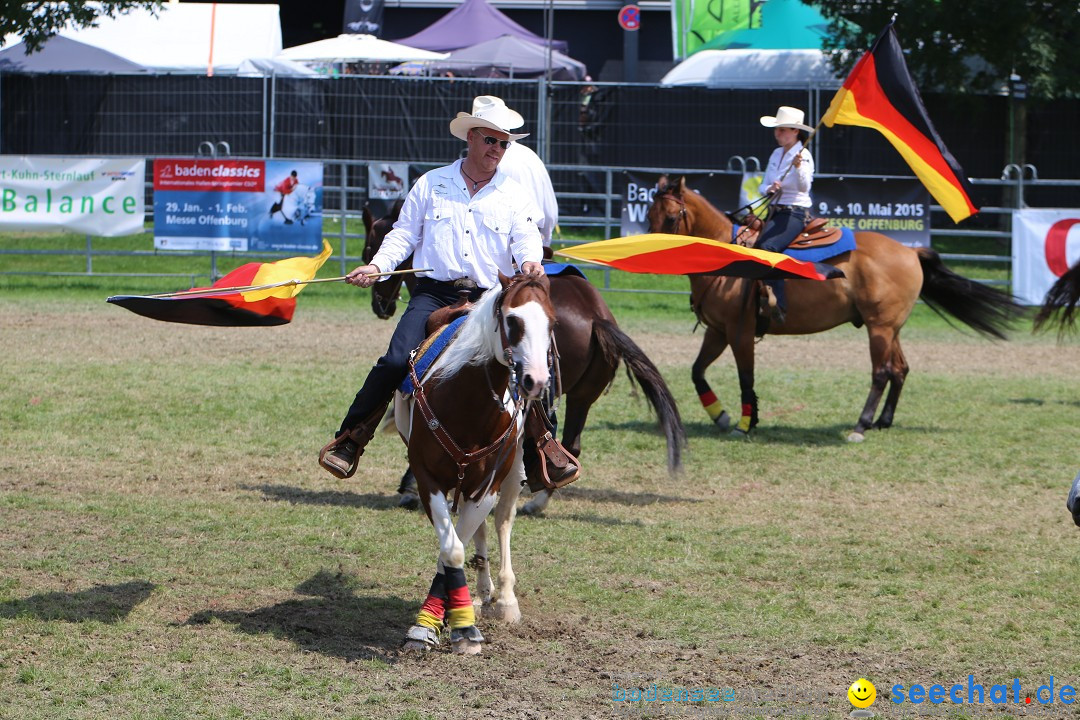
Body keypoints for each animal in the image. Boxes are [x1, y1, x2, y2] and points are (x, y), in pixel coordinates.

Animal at [360, 204, 682, 518]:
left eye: (368, 248)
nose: (379, 306)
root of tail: (596, 316)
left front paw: (410, 487)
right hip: (582, 395)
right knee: (571, 443)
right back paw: (541, 495)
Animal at [393, 273, 552, 656]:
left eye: (551, 323)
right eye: (513, 320)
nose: (537, 381)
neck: (466, 405)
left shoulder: (487, 487)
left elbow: (454, 548)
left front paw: (460, 627)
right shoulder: (428, 480)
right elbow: (451, 550)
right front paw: (429, 626)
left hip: (509, 475)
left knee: (502, 523)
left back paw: (504, 598)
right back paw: (481, 593)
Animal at [648, 177, 1019, 442]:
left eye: (672, 216)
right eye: (650, 215)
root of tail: (910, 252)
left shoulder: (740, 332)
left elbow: (745, 377)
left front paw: (744, 423)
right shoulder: (717, 330)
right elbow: (697, 371)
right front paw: (721, 416)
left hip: (879, 328)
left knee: (881, 372)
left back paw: (861, 425)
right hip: (891, 327)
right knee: (900, 369)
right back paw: (883, 422)